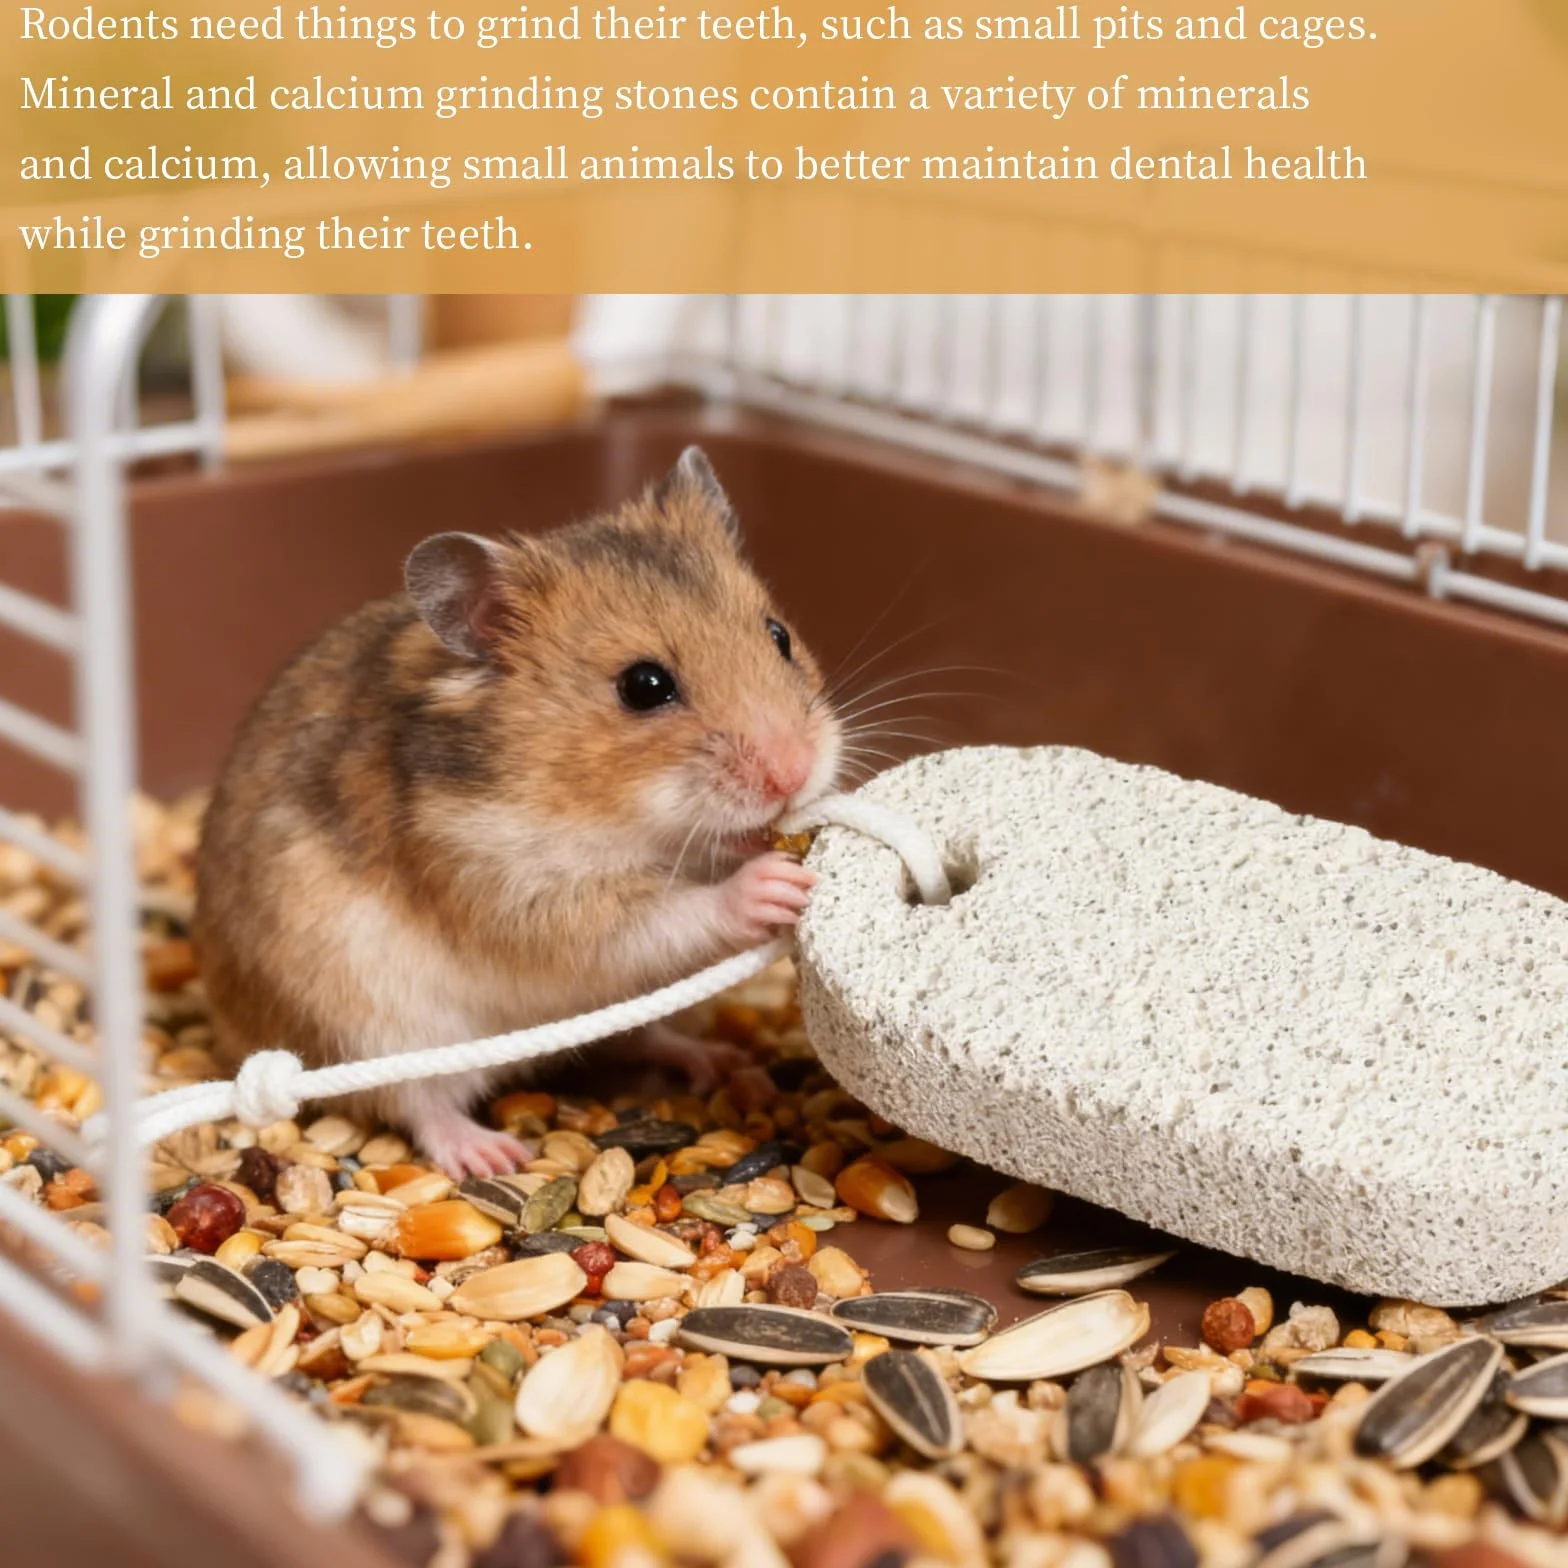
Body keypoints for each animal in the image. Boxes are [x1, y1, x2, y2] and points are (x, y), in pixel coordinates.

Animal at [195, 447, 841, 1178]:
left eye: (778, 634)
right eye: (644, 686)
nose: (795, 775)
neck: (628, 822)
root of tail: (230, 1030)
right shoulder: (520, 894)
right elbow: (663, 916)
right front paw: (773, 885)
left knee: (640, 1038)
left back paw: (721, 1062)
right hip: (368, 1026)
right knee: (416, 1103)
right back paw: (491, 1156)